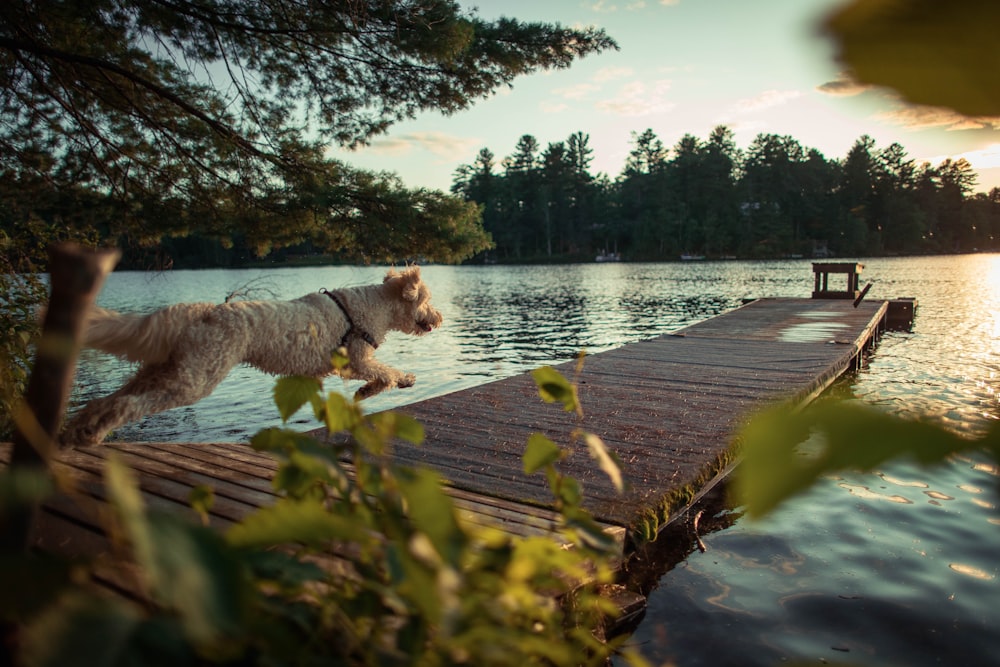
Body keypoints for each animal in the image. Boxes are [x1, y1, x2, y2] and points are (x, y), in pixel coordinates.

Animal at [60, 268, 440, 448]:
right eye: (427, 300)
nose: (439, 318)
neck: (372, 306)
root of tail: (202, 312)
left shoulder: (347, 366)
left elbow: (379, 377)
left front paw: (370, 391)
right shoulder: (357, 359)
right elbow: (386, 372)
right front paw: (400, 381)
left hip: (164, 370)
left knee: (106, 400)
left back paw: (80, 431)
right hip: (194, 380)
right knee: (128, 406)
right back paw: (92, 434)